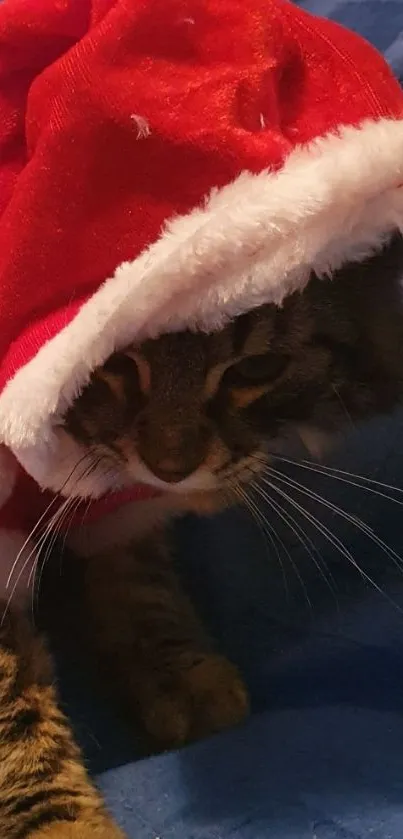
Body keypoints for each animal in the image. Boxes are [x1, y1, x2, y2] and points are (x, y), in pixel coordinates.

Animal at [2, 235, 403, 839]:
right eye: (113, 363)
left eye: (257, 367)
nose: (171, 469)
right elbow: (16, 717)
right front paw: (65, 828)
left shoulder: (123, 508)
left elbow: (137, 574)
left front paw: (173, 669)